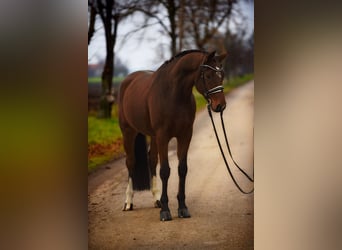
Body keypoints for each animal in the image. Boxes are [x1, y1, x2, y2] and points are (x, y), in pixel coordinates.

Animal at [117, 49, 227, 221]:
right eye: (208, 76)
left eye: (221, 75)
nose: (220, 105)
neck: (173, 94)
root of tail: (127, 81)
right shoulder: (163, 136)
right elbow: (165, 171)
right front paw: (165, 211)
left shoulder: (185, 135)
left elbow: (182, 169)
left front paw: (182, 208)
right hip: (128, 131)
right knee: (131, 162)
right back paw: (128, 202)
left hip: (152, 136)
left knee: (152, 160)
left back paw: (156, 199)